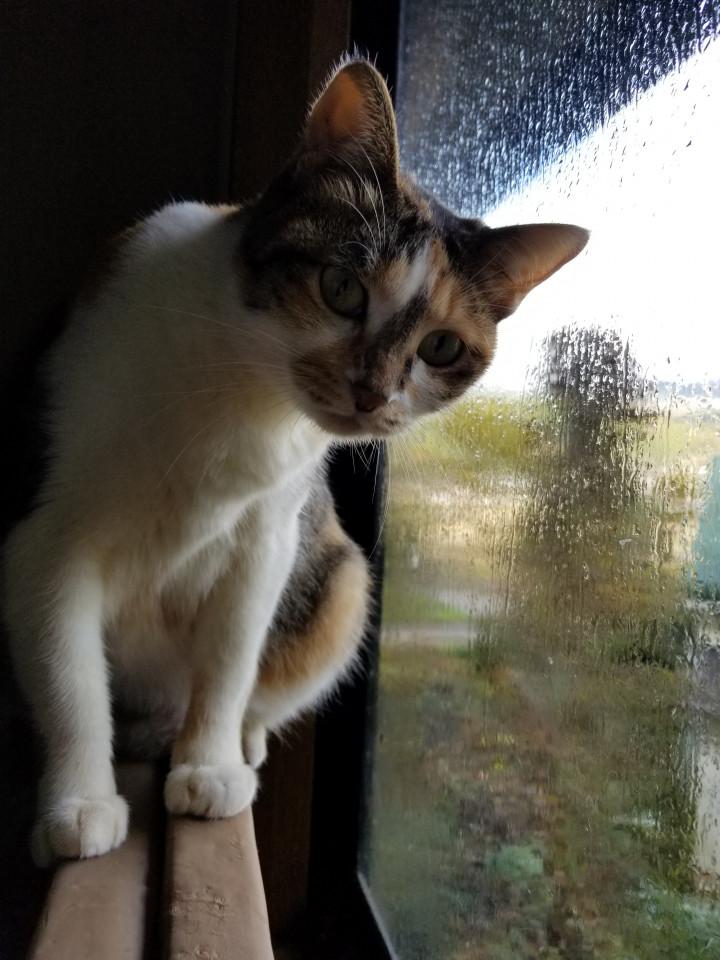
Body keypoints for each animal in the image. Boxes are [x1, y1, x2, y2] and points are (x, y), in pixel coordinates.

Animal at [2, 57, 588, 864]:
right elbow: (70, 681)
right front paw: (79, 806)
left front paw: (209, 766)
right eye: (340, 289)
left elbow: (229, 665)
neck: (244, 399)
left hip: (340, 579)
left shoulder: (266, 541)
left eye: (441, 347)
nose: (372, 393)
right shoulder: (47, 539)